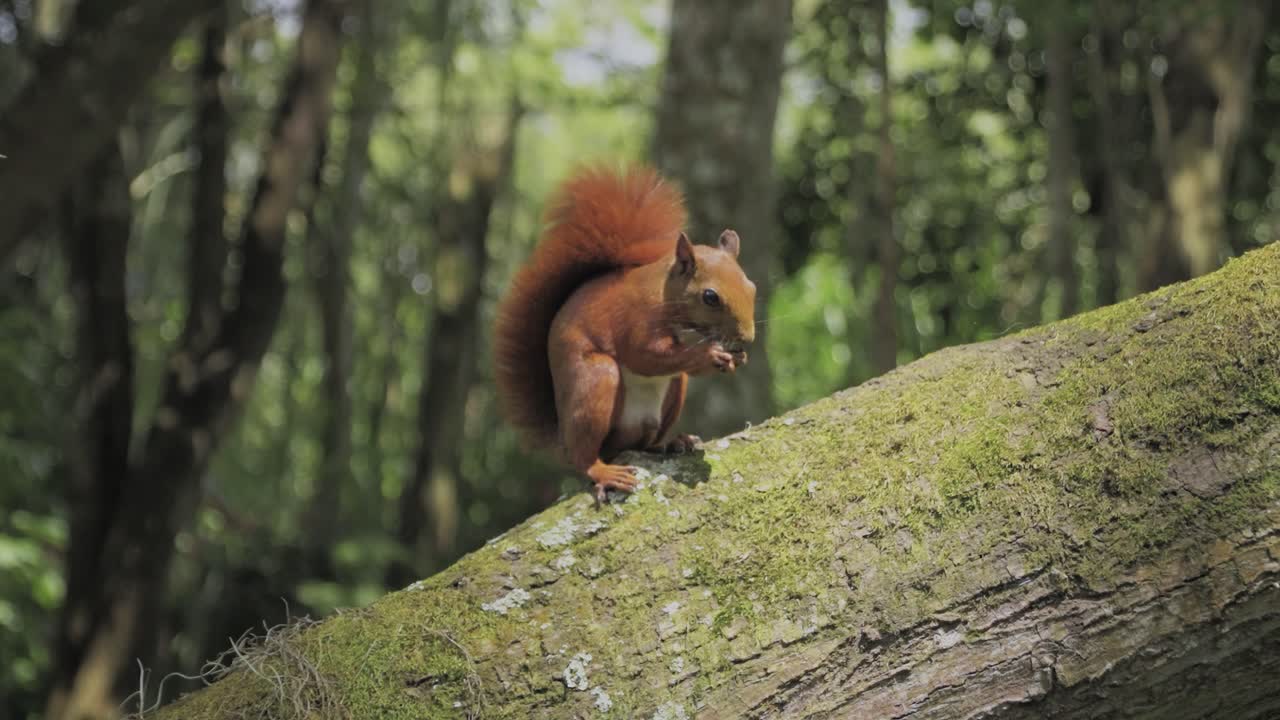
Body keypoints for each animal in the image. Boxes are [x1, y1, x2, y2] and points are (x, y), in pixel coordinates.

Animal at [494, 165, 756, 502]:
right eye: (710, 297)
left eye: (751, 287)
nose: (747, 337)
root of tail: (561, 436)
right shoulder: (634, 321)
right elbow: (644, 356)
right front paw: (707, 355)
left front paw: (737, 357)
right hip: (597, 381)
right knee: (585, 455)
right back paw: (603, 470)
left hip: (673, 392)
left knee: (643, 442)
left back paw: (672, 442)